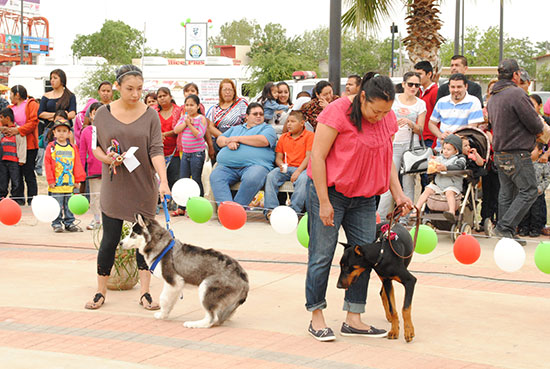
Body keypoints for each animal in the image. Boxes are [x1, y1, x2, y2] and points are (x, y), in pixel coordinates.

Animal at [122, 213, 250, 328]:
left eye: (132, 234)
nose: (120, 242)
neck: (163, 247)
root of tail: (243, 277)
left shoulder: (173, 281)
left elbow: (163, 298)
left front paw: (162, 315)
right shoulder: (175, 285)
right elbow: (169, 301)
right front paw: (166, 314)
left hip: (206, 287)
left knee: (212, 318)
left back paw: (194, 324)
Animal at [336, 207, 418, 342]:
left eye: (348, 267)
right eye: (341, 265)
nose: (338, 285)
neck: (382, 253)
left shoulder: (410, 281)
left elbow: (405, 308)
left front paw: (408, 331)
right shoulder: (386, 280)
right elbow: (393, 308)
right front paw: (394, 330)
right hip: (384, 278)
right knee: (383, 293)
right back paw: (390, 317)